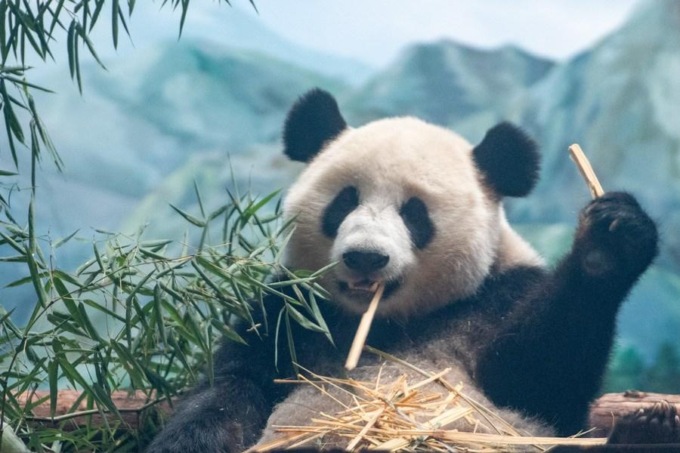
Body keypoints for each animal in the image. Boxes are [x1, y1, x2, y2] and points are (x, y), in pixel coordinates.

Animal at [148, 89, 677, 452]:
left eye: (414, 213)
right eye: (344, 201)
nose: (365, 256)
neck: (383, 323)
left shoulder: (498, 298)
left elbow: (544, 381)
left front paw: (610, 243)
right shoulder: (290, 313)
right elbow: (232, 388)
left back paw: (643, 432)